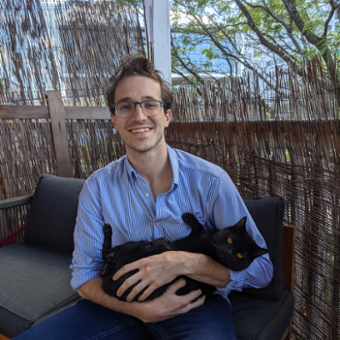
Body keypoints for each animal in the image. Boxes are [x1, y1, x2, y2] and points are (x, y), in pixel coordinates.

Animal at [99, 214, 266, 302]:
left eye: (240, 256)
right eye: (230, 240)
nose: (228, 252)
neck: (211, 247)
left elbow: (174, 251)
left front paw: (165, 245)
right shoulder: (197, 235)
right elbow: (199, 226)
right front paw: (189, 217)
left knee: (106, 261)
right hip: (129, 247)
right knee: (106, 256)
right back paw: (109, 233)